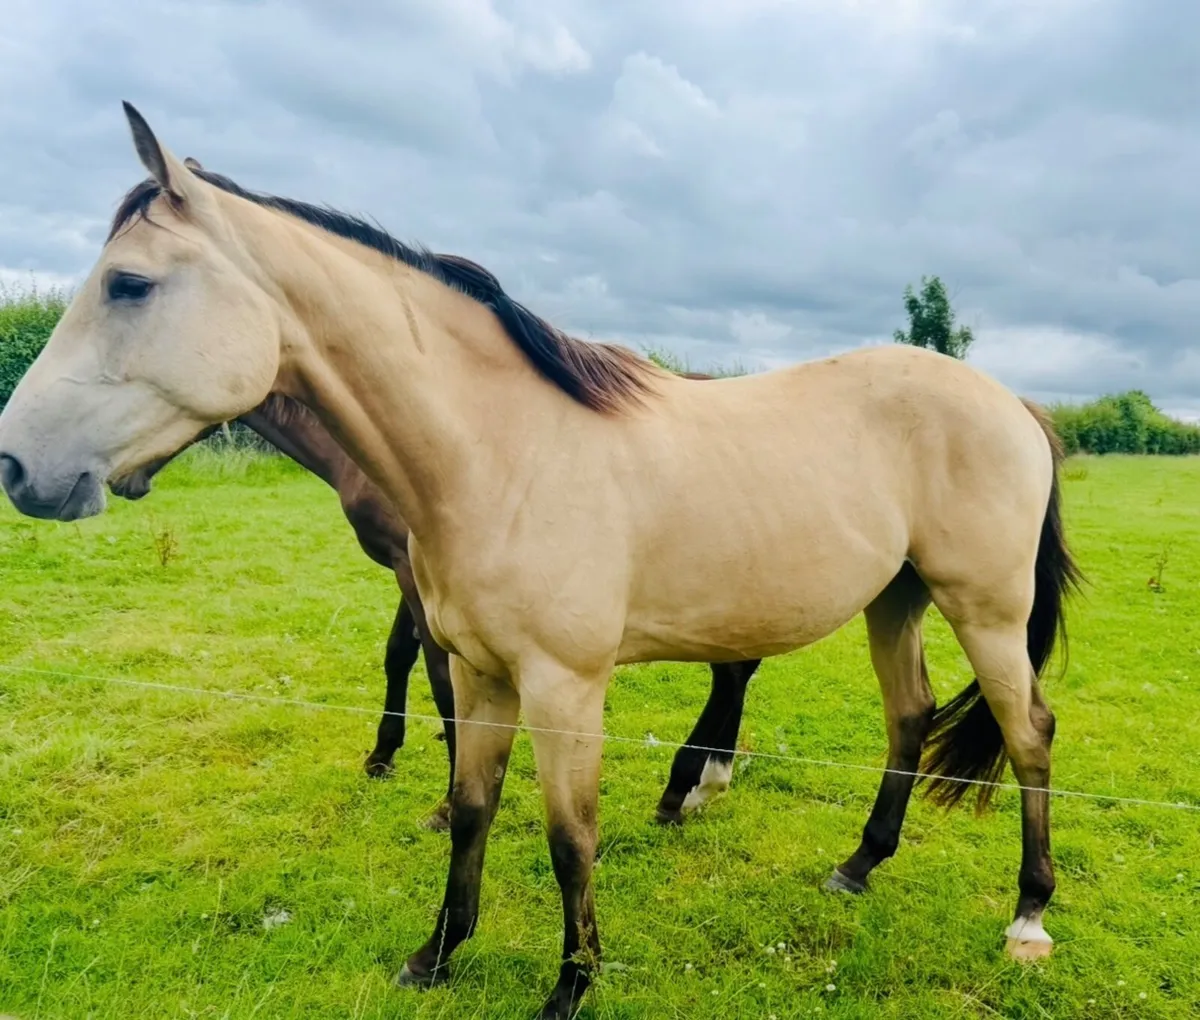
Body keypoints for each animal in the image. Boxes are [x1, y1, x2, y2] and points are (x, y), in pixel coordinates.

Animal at [130, 383, 761, 831]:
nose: (123, 480)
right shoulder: (416, 575)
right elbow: (398, 655)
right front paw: (384, 754)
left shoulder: (417, 574)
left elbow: (437, 675)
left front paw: (447, 801)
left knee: (732, 670)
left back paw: (686, 786)